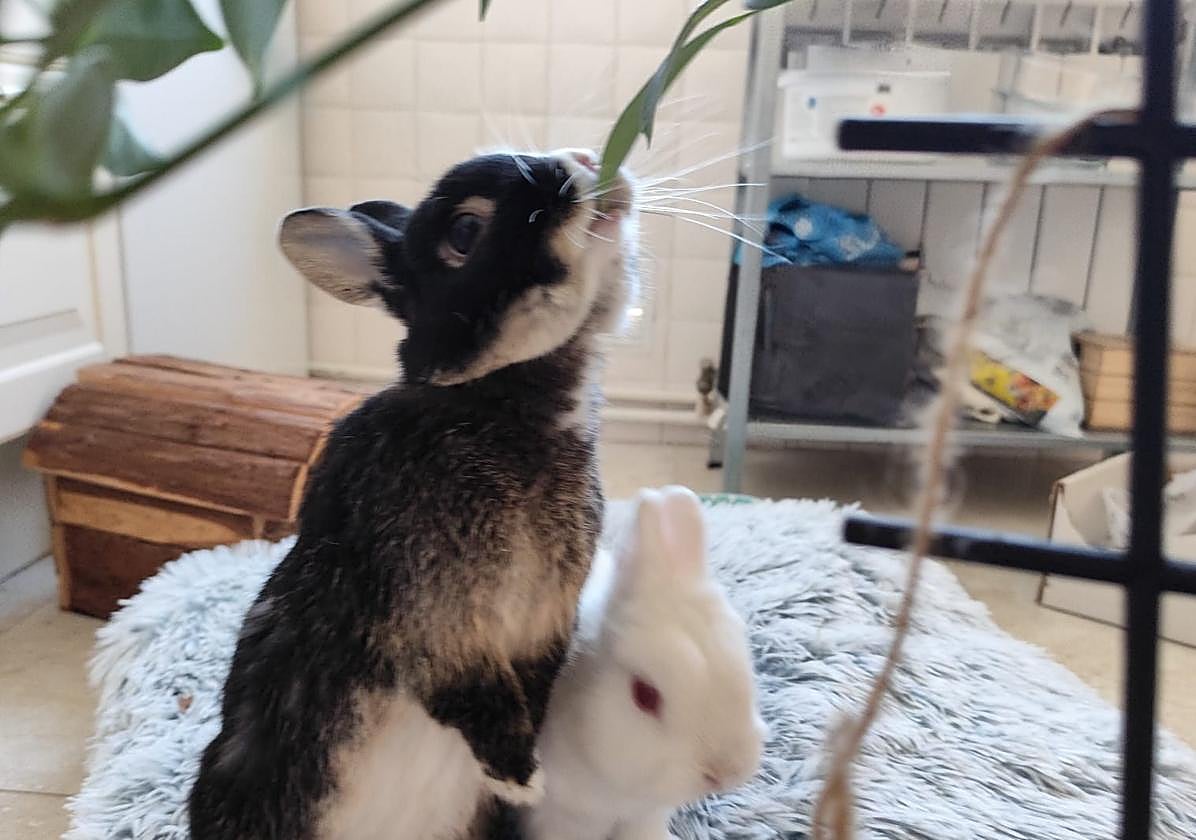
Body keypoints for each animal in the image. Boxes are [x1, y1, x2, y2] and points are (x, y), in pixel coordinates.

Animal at [187, 148, 640, 840]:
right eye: (465, 232)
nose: (588, 161)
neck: (499, 406)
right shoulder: (433, 619)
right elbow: (472, 692)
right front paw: (519, 775)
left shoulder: (545, 621)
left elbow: (533, 686)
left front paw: (525, 773)